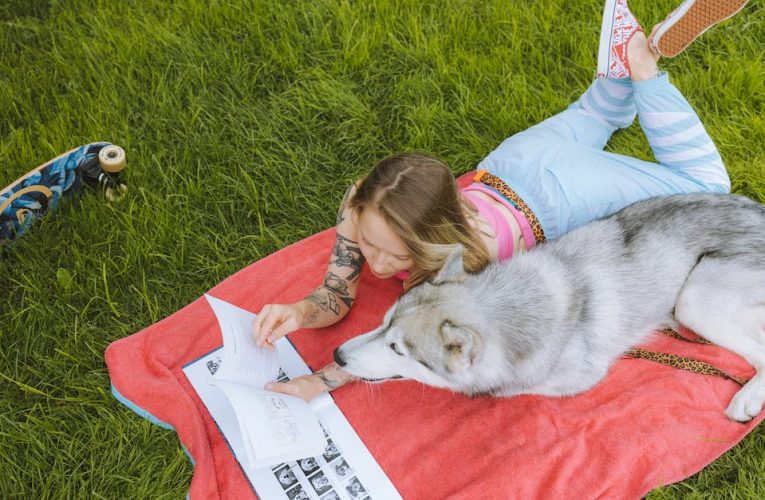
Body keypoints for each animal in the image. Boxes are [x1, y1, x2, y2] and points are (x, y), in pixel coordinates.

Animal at [338, 193, 764, 420]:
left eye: (398, 349)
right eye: (384, 321)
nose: (337, 354)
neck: (510, 307)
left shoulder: (578, 378)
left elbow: (518, 388)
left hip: (693, 302)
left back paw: (746, 399)